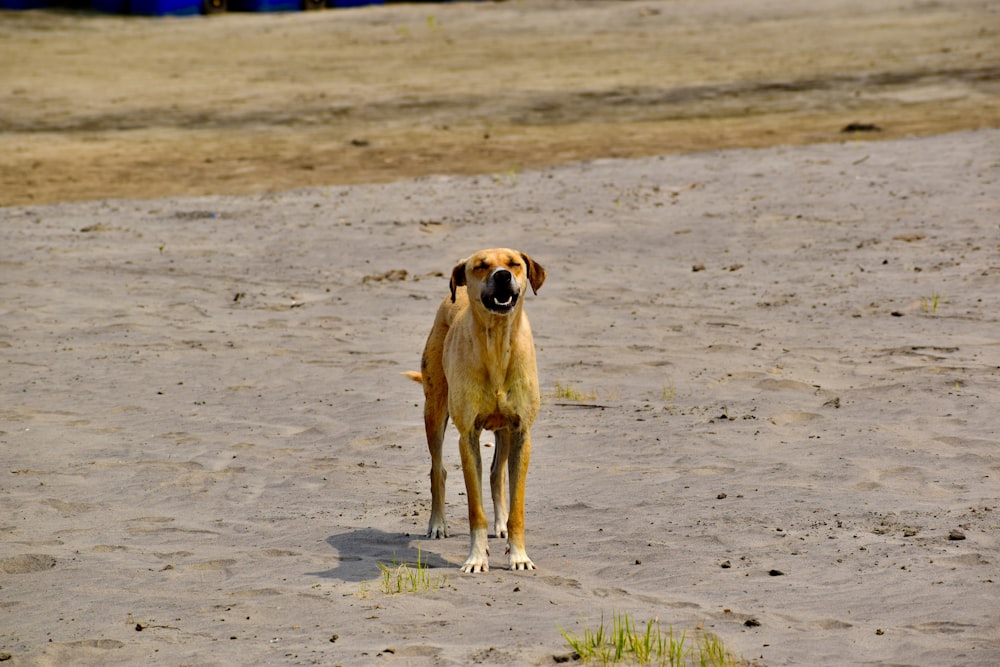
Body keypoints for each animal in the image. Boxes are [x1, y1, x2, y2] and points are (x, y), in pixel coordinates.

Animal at [404, 248, 548, 572]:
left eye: (514, 264)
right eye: (481, 266)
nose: (502, 276)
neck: (497, 342)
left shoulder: (521, 432)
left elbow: (516, 505)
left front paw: (519, 555)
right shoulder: (467, 436)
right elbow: (474, 509)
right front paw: (476, 558)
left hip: (505, 431)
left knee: (496, 474)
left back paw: (501, 524)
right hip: (434, 409)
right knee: (438, 469)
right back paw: (438, 524)